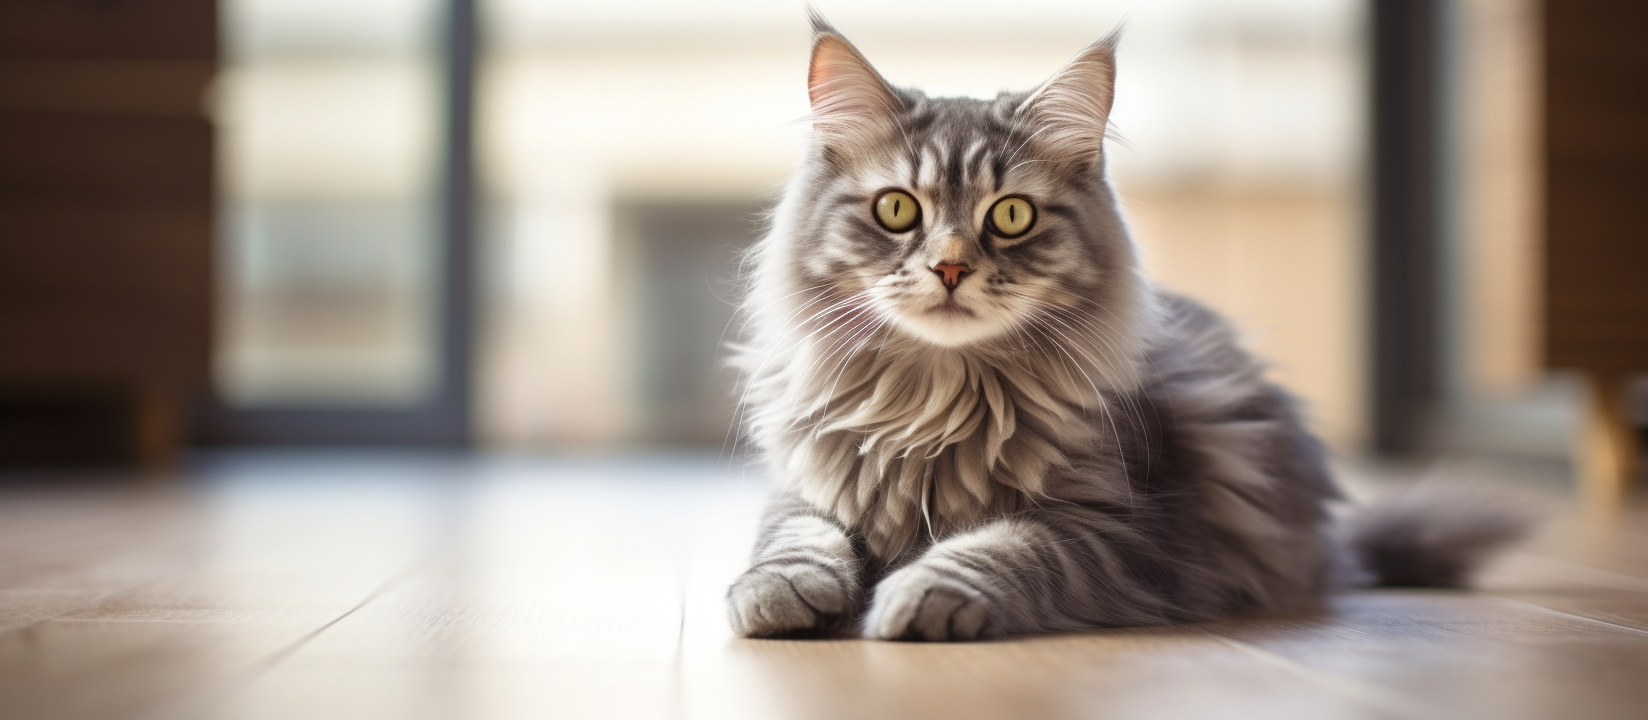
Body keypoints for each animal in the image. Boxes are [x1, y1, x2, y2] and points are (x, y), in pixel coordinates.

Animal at [725, 12, 1529, 639]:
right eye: (897, 209)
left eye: (1010, 216)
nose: (950, 267)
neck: (935, 408)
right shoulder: (810, 483)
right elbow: (793, 535)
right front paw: (780, 591)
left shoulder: (1127, 527)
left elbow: (1006, 548)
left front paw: (923, 593)